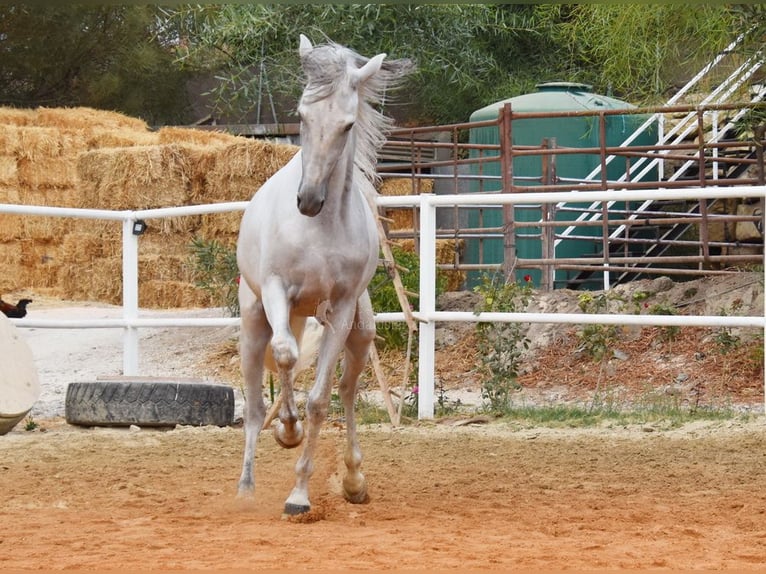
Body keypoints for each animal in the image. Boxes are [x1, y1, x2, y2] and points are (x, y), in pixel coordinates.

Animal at [235, 34, 412, 516]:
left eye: (348, 125)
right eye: (301, 115)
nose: (309, 199)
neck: (320, 228)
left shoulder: (342, 309)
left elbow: (319, 399)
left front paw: (299, 494)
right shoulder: (278, 291)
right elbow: (285, 356)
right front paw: (288, 429)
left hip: (360, 334)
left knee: (347, 391)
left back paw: (353, 479)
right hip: (254, 321)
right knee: (255, 403)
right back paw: (246, 485)